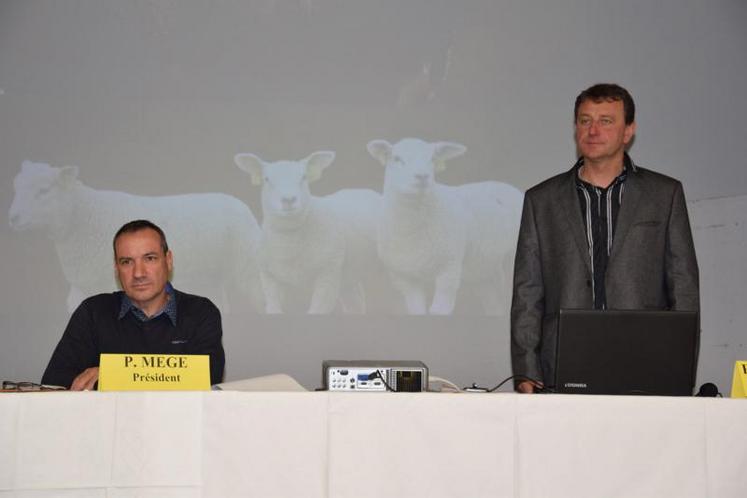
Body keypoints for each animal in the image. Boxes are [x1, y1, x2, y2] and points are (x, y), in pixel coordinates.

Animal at [8, 160, 264, 312]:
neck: (82, 216)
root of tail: (240, 204)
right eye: (16, 187)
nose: (13, 218)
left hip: (247, 269)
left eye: (44, 190)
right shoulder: (80, 288)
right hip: (211, 277)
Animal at [235, 152, 386, 316]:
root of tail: (364, 191)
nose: (289, 199)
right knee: (355, 304)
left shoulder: (329, 273)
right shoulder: (268, 278)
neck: (289, 247)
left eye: (304, 177)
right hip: (349, 277)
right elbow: (273, 309)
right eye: (266, 179)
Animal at [366, 136, 520, 316]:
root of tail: (506, 186)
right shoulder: (405, 278)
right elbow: (417, 310)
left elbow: (439, 310)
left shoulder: (449, 268)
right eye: (397, 159)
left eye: (432, 159)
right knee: (494, 304)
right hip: (484, 270)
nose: (422, 176)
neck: (412, 233)